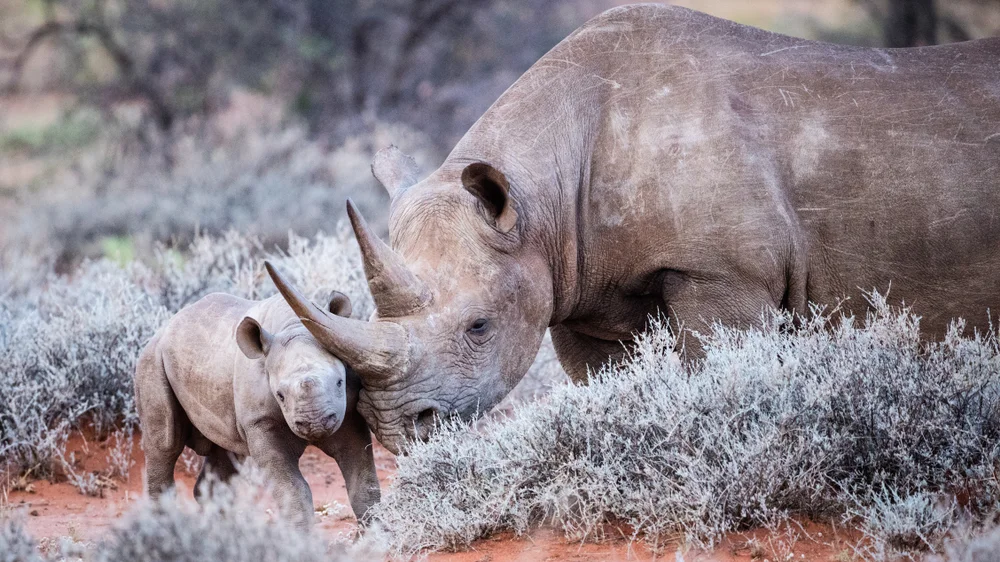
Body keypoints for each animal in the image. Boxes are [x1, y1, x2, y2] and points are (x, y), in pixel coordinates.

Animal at [135, 279, 380, 528]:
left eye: (340, 382)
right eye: (280, 395)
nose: (315, 423)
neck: (292, 326)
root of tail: (164, 328)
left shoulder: (348, 414)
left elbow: (363, 481)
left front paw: (375, 531)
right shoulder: (260, 422)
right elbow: (293, 488)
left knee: (225, 454)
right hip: (151, 360)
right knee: (165, 445)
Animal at [272, 4, 1000, 453]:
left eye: (479, 327)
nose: (394, 427)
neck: (541, 198)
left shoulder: (721, 274)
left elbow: (717, 372)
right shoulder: (582, 292)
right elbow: (605, 385)